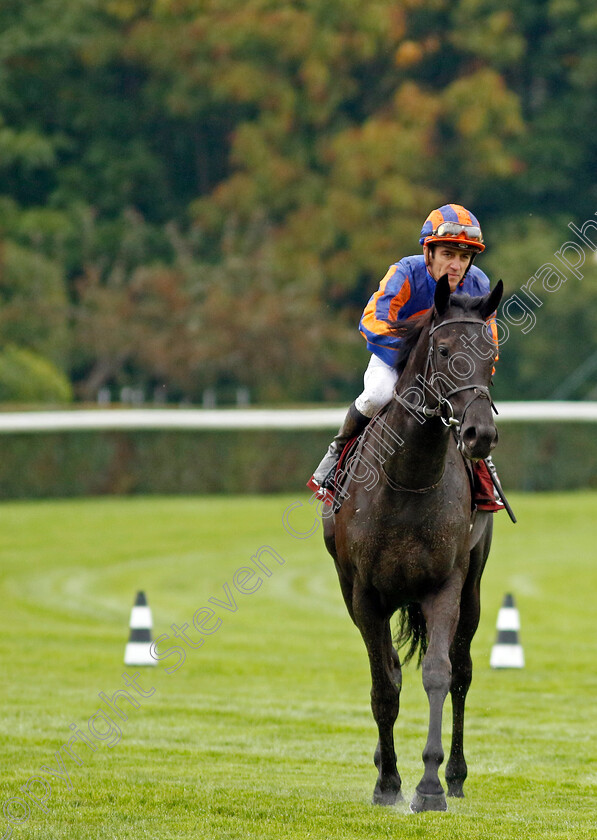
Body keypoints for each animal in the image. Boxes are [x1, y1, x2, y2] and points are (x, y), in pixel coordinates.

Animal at [322, 276, 502, 812]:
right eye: (443, 350)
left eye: (490, 354)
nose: (480, 433)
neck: (408, 479)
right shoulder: (364, 594)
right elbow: (385, 685)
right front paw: (388, 782)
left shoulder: (445, 585)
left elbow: (439, 674)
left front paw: (429, 784)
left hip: (474, 586)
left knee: (462, 672)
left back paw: (456, 776)